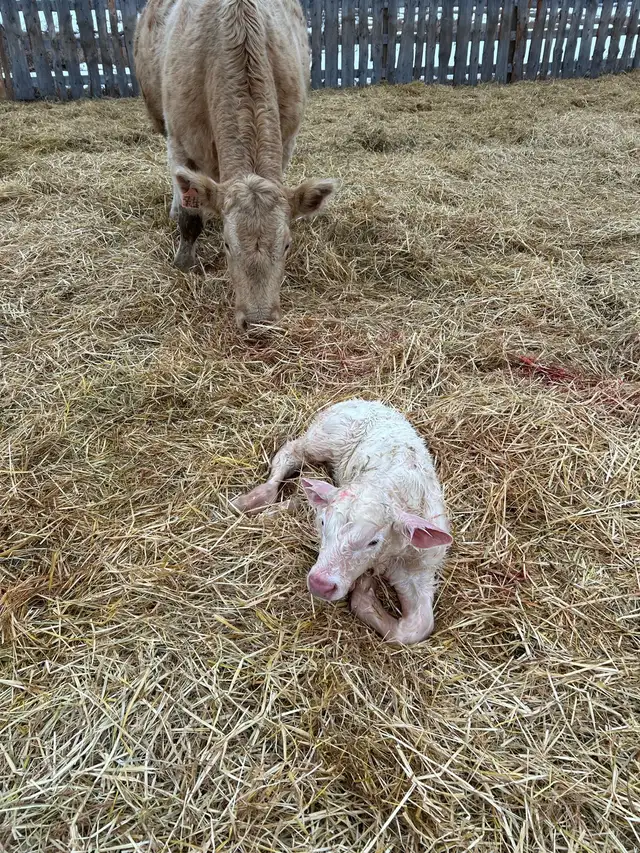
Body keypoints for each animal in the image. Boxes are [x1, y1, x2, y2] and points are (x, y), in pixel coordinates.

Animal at [134, 0, 337, 330]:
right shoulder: (179, 142)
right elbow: (190, 217)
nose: (258, 320)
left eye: (287, 244)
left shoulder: (287, 141)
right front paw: (184, 263)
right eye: (228, 245)